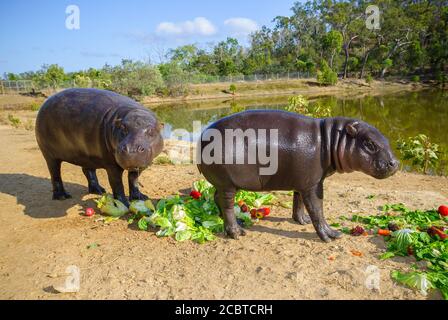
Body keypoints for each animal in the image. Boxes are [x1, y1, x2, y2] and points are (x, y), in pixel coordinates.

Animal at [35, 88, 164, 208]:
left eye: (151, 130)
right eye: (122, 128)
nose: (131, 149)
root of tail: (45, 102)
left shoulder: (141, 165)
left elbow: (133, 179)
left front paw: (140, 197)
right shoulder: (112, 165)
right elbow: (117, 184)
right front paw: (123, 204)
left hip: (85, 155)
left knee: (88, 170)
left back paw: (98, 190)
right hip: (49, 154)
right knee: (55, 173)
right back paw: (62, 196)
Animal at [197, 110, 400, 242]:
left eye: (386, 139)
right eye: (370, 143)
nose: (396, 163)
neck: (331, 140)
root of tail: (202, 137)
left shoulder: (301, 182)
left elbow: (299, 202)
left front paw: (302, 221)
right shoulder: (313, 184)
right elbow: (317, 209)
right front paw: (331, 235)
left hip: (225, 183)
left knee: (217, 198)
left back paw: (232, 222)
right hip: (228, 184)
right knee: (227, 205)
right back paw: (237, 232)